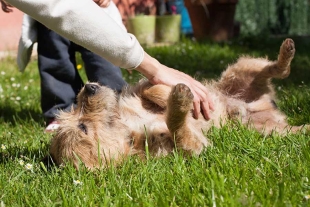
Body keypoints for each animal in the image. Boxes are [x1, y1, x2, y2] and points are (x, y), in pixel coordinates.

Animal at [49, 38, 308, 170]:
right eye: (83, 127)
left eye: (74, 111)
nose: (88, 88)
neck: (129, 126)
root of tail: (269, 106)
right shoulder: (193, 147)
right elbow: (178, 128)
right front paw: (180, 103)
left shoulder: (143, 89)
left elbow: (153, 89)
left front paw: (175, 96)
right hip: (270, 131)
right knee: (294, 126)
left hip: (241, 69)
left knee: (275, 69)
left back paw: (286, 52)